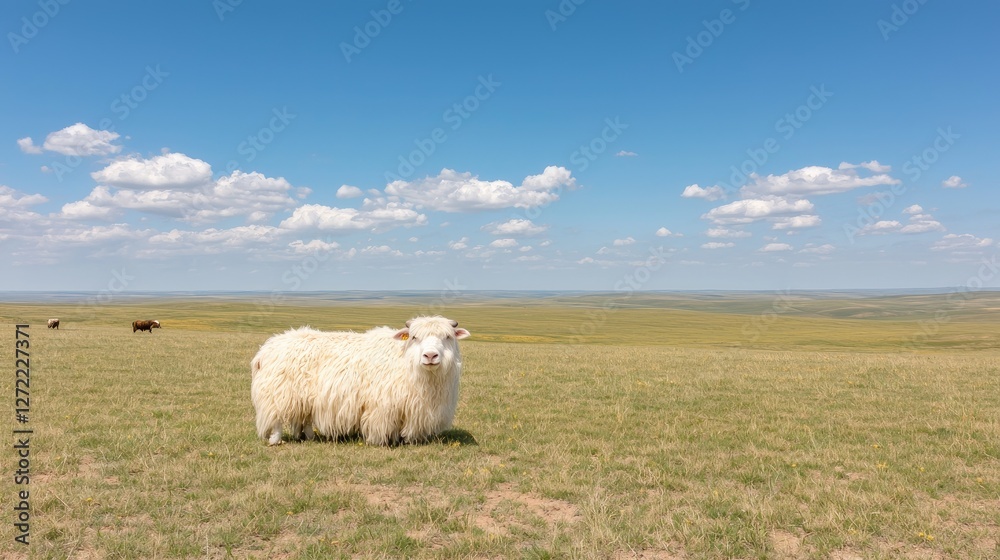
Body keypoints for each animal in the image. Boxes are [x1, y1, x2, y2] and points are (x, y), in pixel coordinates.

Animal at [250, 316, 470, 446]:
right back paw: (276, 440)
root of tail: (265, 349)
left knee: (304, 419)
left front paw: (399, 439)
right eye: (414, 337)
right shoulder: (383, 405)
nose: (430, 356)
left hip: (303, 398)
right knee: (277, 419)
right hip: (279, 394)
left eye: (448, 337)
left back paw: (309, 437)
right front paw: (382, 442)